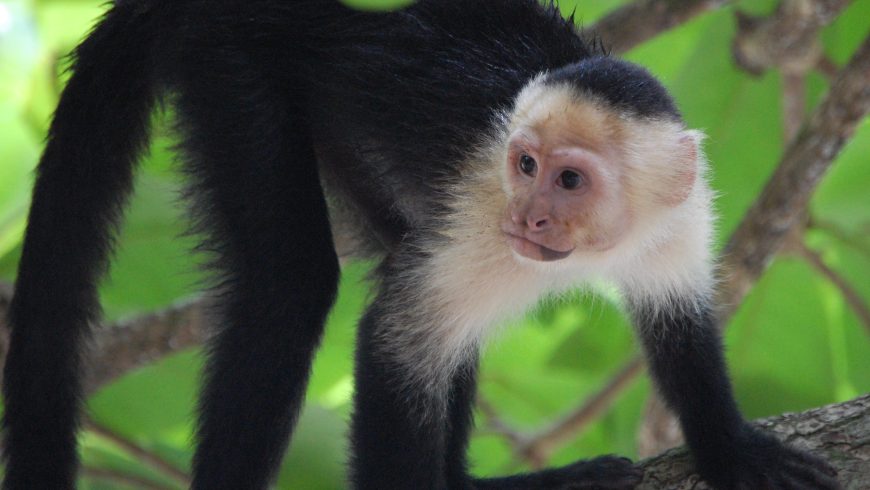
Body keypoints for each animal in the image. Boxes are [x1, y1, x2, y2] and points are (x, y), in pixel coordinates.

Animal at [1, 0, 841, 489]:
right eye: (524, 166)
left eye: (569, 181)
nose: (530, 218)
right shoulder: (484, 214)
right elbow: (396, 343)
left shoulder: (681, 217)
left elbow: (679, 326)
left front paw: (728, 449)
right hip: (233, 67)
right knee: (293, 288)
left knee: (404, 263)